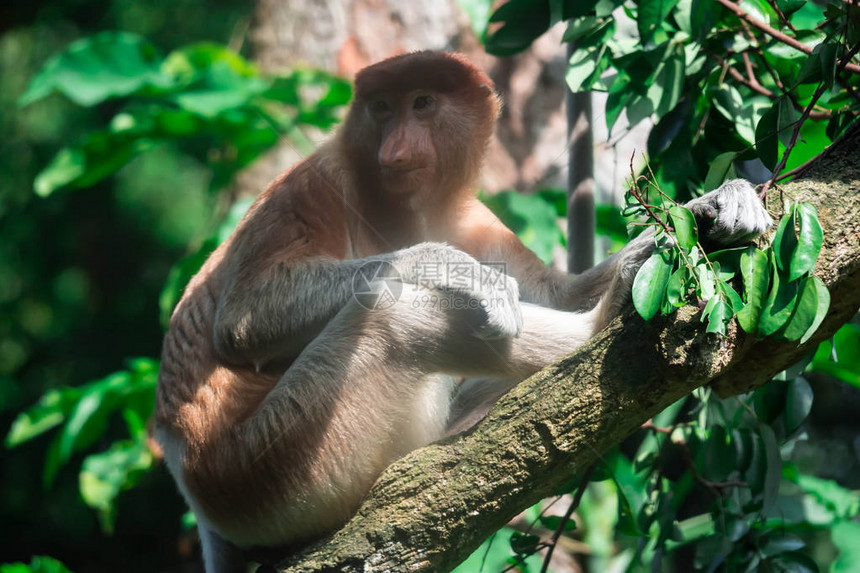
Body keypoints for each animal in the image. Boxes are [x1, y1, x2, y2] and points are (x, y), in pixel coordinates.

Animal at [153, 51, 772, 568]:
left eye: (422, 103)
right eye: (382, 108)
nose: (396, 148)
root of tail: (192, 481)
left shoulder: (473, 220)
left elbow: (558, 292)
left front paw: (714, 205)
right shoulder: (313, 185)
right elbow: (242, 321)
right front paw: (457, 269)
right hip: (270, 465)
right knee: (391, 318)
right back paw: (604, 317)